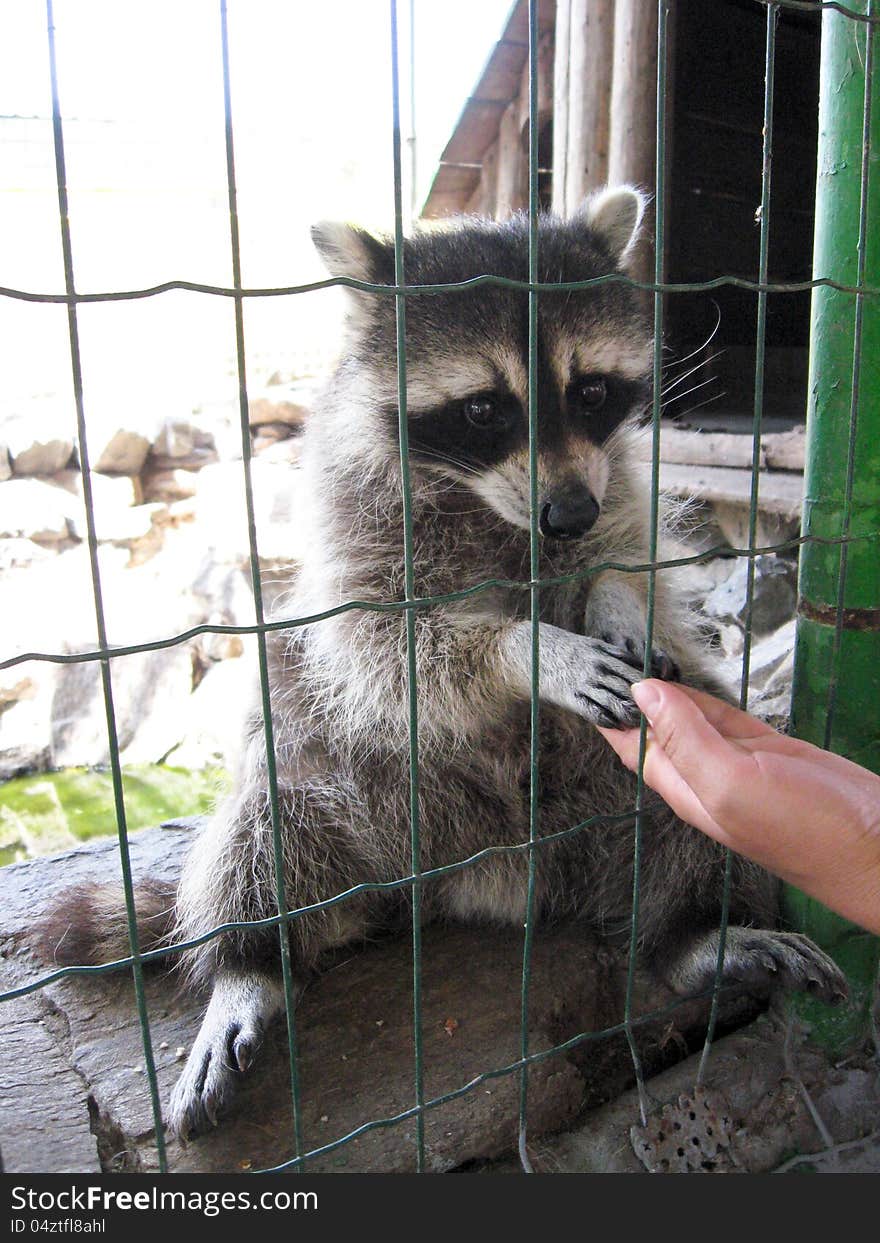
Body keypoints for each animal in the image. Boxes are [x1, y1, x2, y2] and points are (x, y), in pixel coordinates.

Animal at [46, 183, 845, 1138]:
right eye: (484, 409)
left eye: (591, 390)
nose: (568, 514)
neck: (486, 503)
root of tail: (490, 880)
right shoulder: (353, 519)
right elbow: (388, 649)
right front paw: (529, 650)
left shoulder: (619, 475)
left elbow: (634, 551)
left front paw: (612, 593)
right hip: (356, 788)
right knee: (271, 807)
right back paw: (251, 961)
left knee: (684, 822)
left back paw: (696, 933)